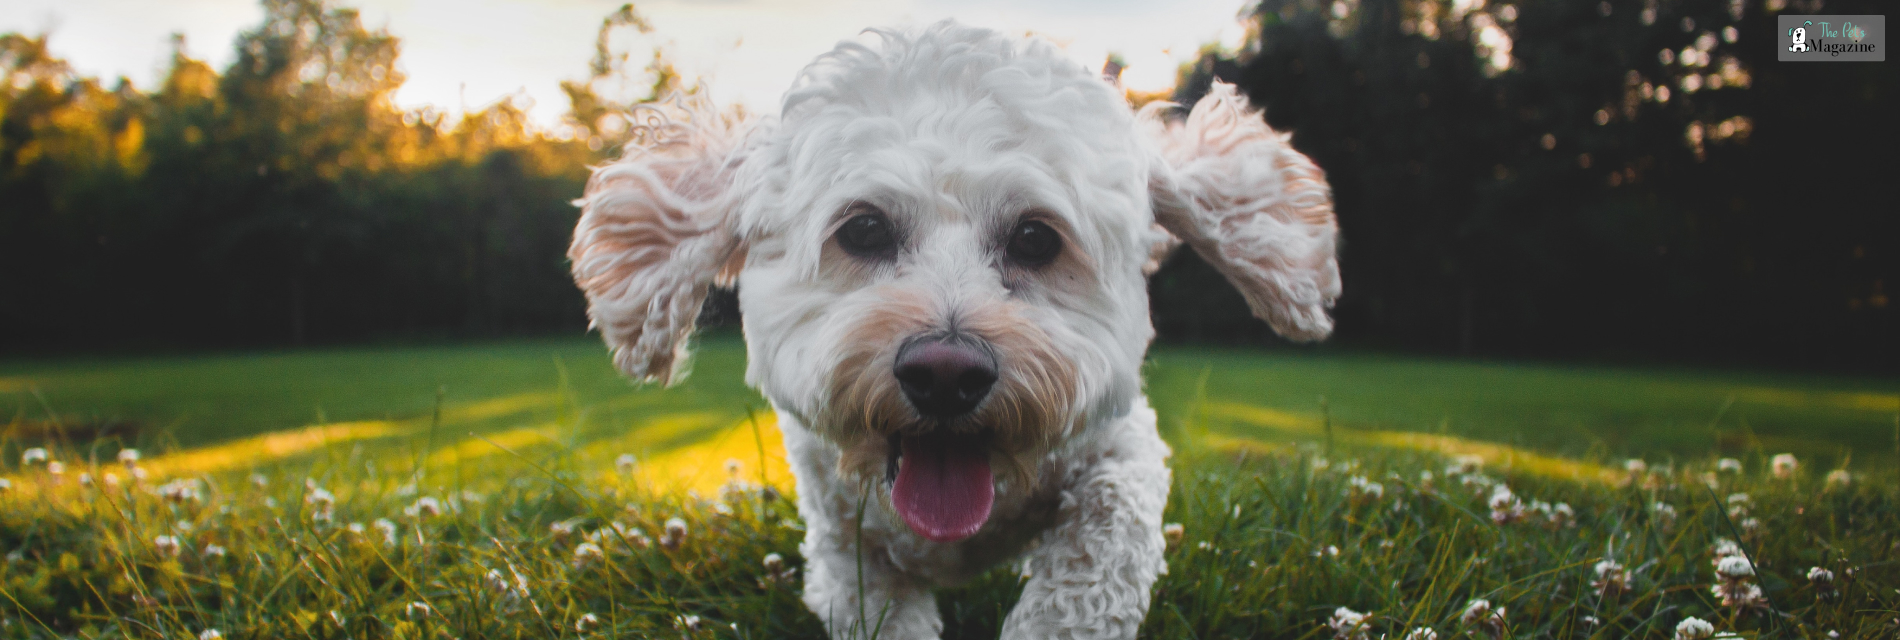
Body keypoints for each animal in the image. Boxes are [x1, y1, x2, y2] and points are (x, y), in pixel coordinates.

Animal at [562, 19, 1337, 638]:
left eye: (1035, 239)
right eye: (864, 229)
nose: (945, 373)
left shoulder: (1120, 450)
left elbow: (1095, 561)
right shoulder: (842, 543)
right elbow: (878, 608)